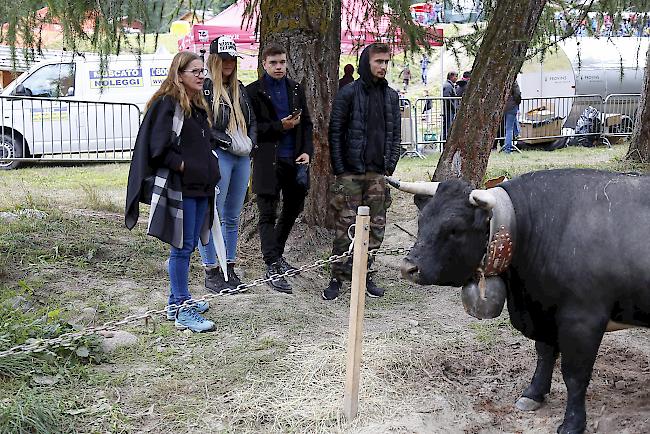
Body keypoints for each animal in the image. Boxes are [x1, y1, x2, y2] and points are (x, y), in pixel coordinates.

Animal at [388, 170, 648, 434]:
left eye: (455, 229)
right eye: (421, 221)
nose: (408, 268)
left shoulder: (583, 320)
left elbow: (575, 375)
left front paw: (573, 423)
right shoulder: (544, 311)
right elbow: (544, 354)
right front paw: (534, 394)